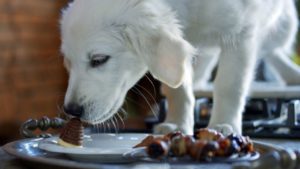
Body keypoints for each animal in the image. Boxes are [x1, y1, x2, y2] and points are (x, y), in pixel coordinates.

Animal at [59, 0, 298, 135]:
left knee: (272, 50)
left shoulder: (241, 33)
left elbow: (230, 85)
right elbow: (178, 88)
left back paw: (292, 74)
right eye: (68, 62)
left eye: (99, 59)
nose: (71, 110)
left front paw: (223, 124)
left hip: (285, 27)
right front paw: (176, 124)